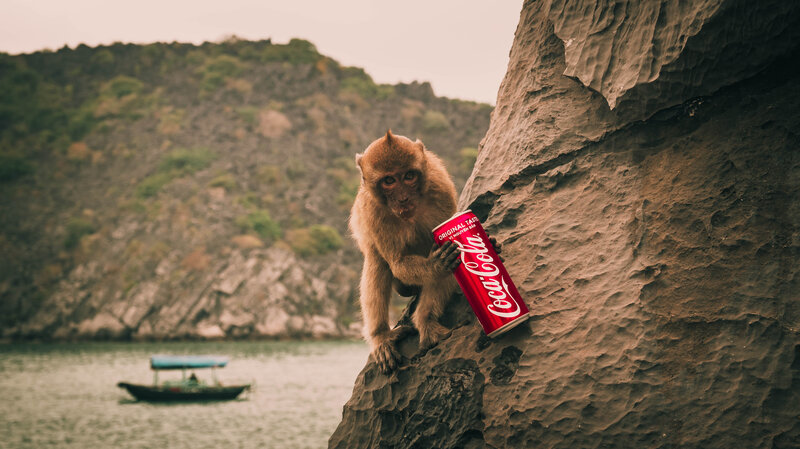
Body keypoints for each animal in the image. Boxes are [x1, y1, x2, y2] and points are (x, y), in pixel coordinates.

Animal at [349, 130, 463, 373]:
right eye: (389, 181)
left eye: (409, 176)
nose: (403, 198)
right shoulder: (373, 213)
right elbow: (398, 263)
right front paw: (436, 264)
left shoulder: (441, 190)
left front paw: (425, 321)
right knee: (377, 261)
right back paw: (381, 337)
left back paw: (424, 320)